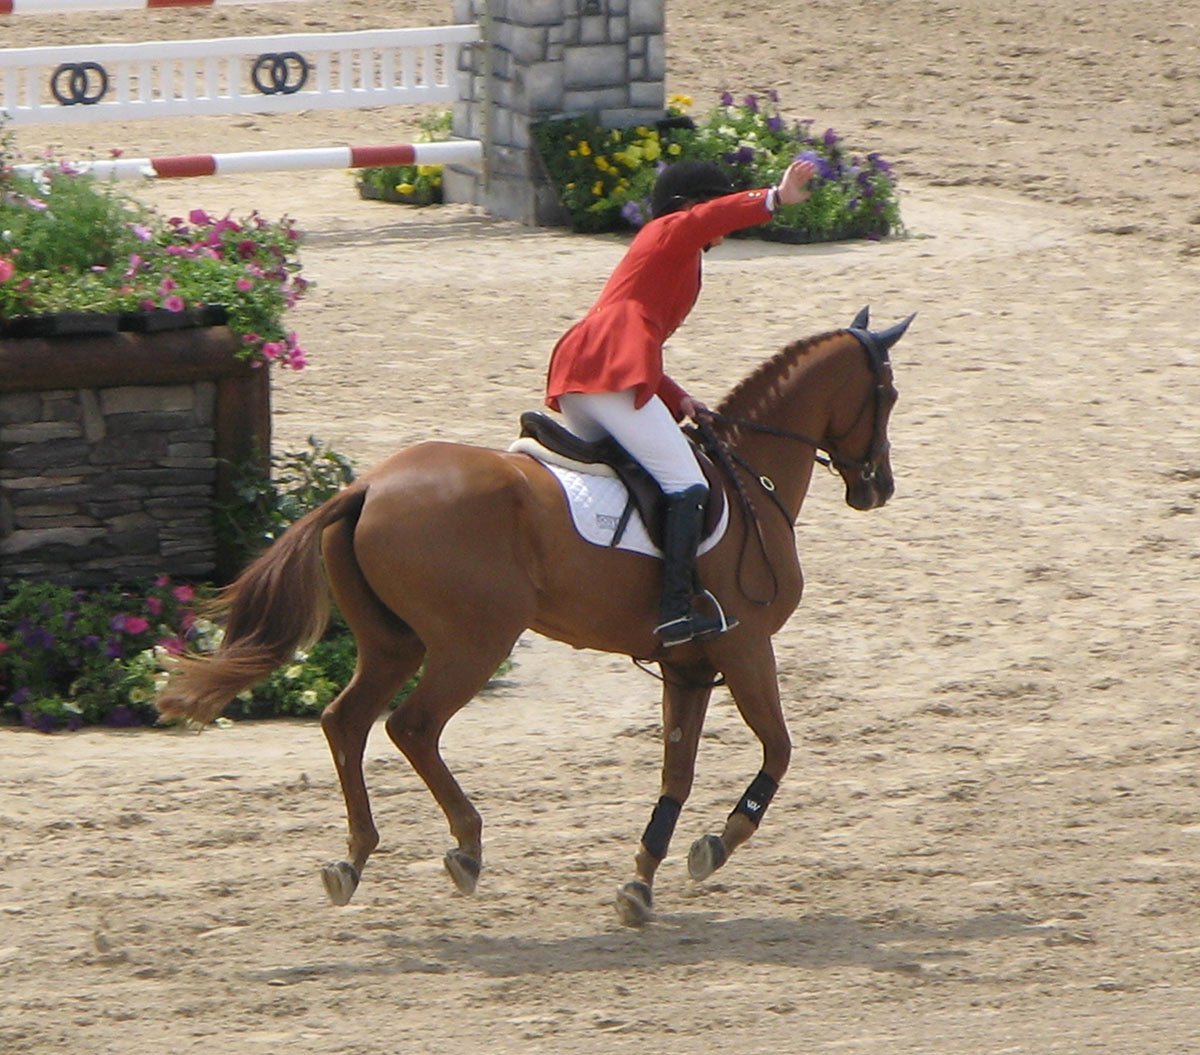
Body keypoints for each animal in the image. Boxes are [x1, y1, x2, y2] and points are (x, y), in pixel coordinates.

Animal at [157, 304, 907, 921]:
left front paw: (641, 880)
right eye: (890, 394)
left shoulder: (688, 664)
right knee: (411, 726)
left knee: (347, 721)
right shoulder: (746, 646)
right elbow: (779, 748)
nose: (879, 487)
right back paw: (465, 846)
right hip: (474, 642)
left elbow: (677, 769)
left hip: (394, 643)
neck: (752, 474)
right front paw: (718, 843)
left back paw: (355, 857)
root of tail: (366, 486)